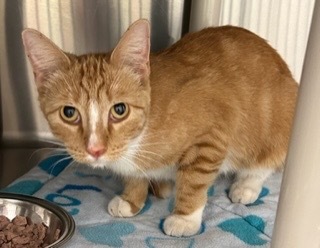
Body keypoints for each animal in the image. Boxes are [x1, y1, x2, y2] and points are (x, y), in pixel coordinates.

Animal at [21, 18, 298, 236]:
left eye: (119, 110)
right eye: (69, 113)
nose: (95, 150)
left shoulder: (213, 133)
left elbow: (194, 180)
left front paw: (185, 219)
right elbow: (135, 176)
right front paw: (132, 199)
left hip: (275, 124)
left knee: (266, 161)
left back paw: (246, 186)